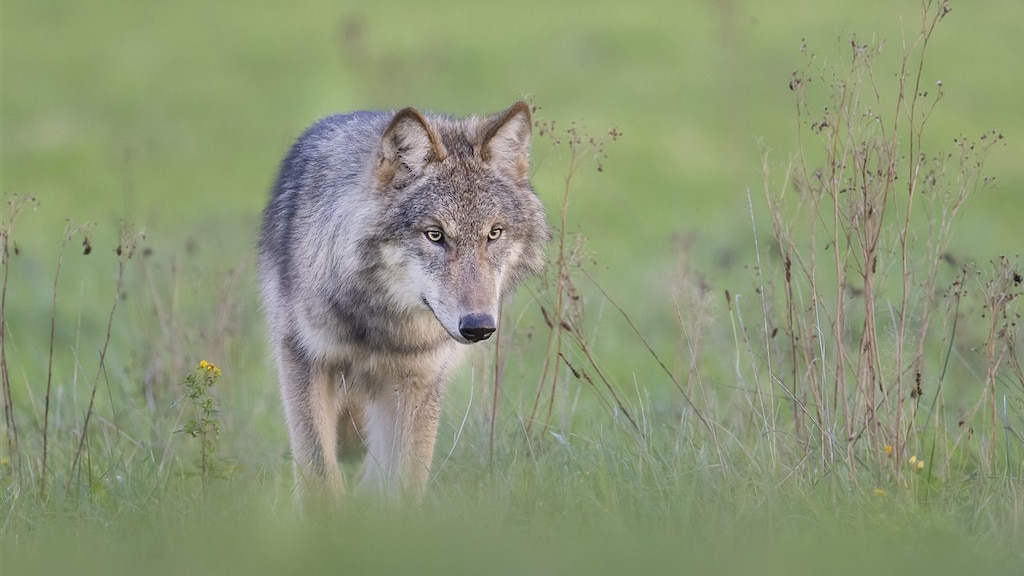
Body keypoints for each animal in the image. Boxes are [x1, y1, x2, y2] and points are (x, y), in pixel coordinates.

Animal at [258, 101, 549, 502]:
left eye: (494, 233)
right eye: (435, 235)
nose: (478, 327)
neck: (383, 322)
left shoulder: (419, 379)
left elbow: (405, 485)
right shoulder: (303, 359)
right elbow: (320, 477)